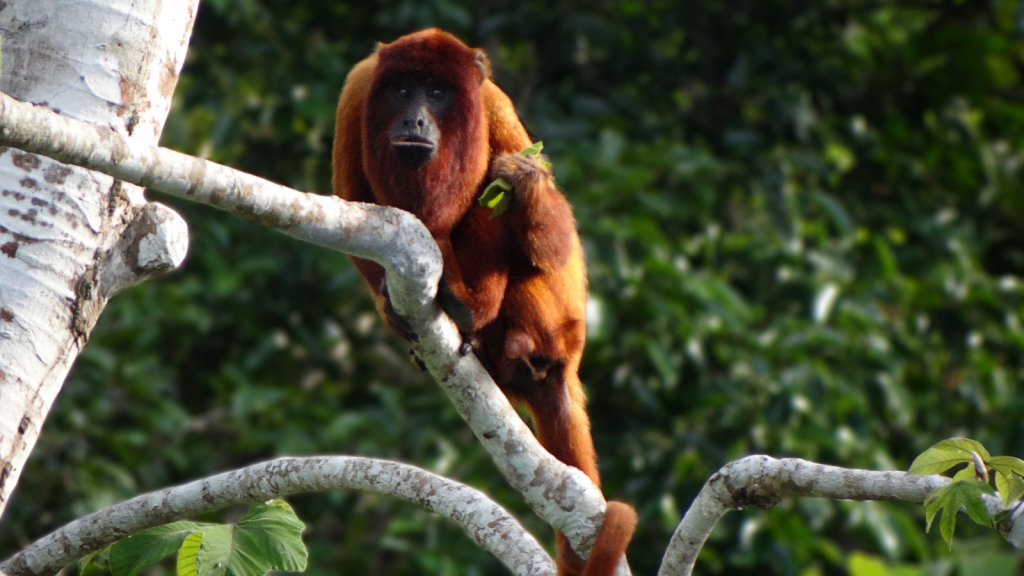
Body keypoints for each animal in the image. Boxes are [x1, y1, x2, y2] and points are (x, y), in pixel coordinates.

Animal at [331, 31, 634, 573]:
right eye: (403, 89)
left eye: (436, 93)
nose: (414, 119)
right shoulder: (358, 89)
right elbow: (350, 202)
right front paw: (390, 306)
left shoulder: (493, 104)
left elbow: (554, 240)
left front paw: (527, 180)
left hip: (553, 323)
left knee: (492, 216)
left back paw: (475, 310)